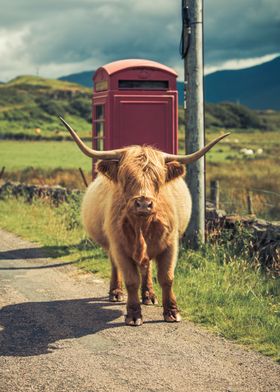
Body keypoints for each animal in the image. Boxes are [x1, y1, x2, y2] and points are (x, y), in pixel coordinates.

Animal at [60, 118, 229, 326]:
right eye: (126, 177)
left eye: (158, 179)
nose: (143, 203)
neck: (142, 225)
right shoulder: (119, 245)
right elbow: (131, 279)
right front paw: (133, 314)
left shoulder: (171, 244)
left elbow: (166, 277)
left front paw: (171, 311)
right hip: (111, 244)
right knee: (116, 265)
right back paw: (116, 292)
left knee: (146, 266)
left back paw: (149, 295)